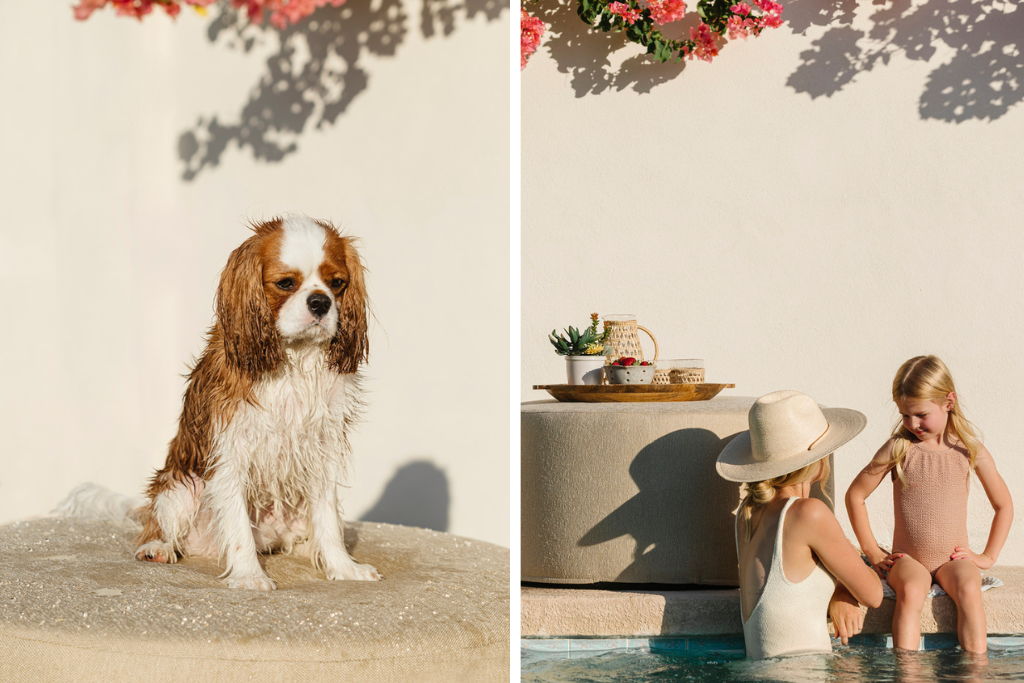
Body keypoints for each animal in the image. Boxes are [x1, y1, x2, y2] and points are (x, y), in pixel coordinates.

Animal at [67, 216, 380, 589]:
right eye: (285, 283)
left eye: (337, 284)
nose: (320, 302)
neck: (295, 356)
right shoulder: (231, 449)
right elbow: (238, 524)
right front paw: (248, 575)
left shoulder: (322, 448)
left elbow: (328, 519)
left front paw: (343, 568)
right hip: (182, 485)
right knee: (162, 526)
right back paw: (158, 546)